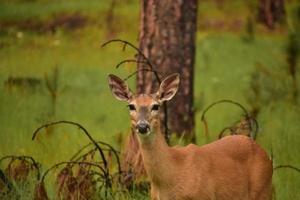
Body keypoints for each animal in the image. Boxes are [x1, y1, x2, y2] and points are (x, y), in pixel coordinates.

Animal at [108, 73, 274, 200]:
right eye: (131, 106)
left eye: (156, 106)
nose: (142, 126)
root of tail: (262, 151)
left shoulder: (205, 196)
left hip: (263, 189)